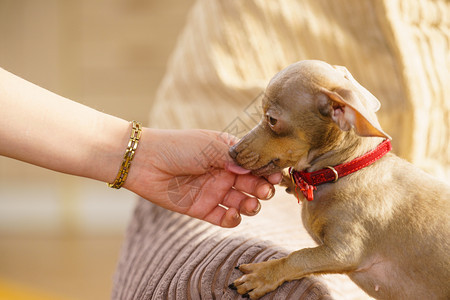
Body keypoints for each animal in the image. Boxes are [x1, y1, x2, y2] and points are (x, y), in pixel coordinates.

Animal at [230, 59, 448, 298]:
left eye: (271, 120)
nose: (231, 151)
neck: (347, 168)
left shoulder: (343, 252)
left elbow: (300, 256)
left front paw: (263, 274)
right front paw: (288, 180)